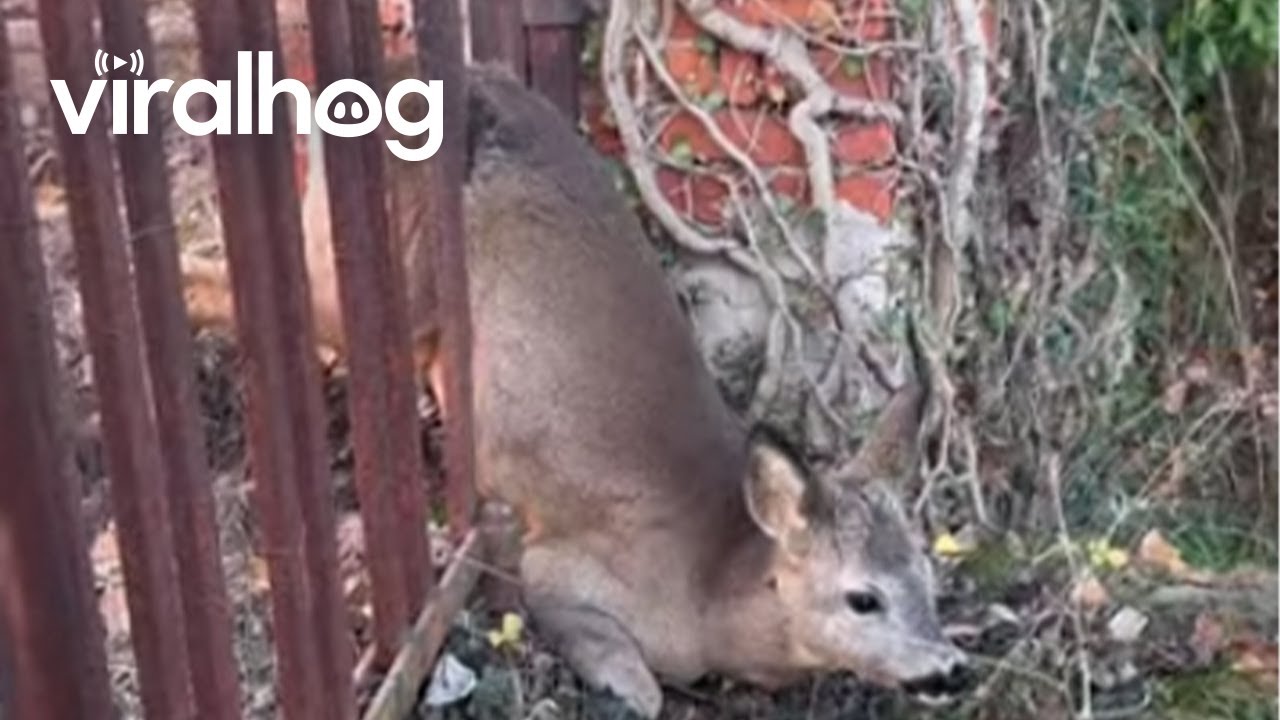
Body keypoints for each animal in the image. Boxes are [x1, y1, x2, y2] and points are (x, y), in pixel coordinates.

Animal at [181, 63, 971, 717]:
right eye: (863, 598)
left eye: (928, 577)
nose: (947, 667)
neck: (709, 583)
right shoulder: (562, 570)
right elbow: (637, 684)